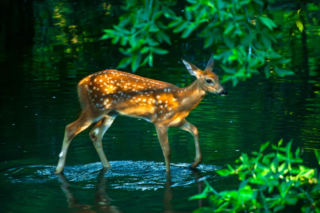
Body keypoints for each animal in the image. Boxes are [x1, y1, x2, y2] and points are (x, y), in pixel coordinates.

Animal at [56, 54, 229, 173]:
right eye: (208, 80)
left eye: (218, 77)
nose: (224, 91)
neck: (180, 101)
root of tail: (80, 83)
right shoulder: (160, 121)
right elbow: (167, 151)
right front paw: (169, 173)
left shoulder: (177, 121)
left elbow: (195, 130)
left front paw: (194, 163)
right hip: (95, 108)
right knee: (70, 128)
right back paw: (58, 170)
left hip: (110, 113)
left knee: (95, 134)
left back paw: (107, 167)